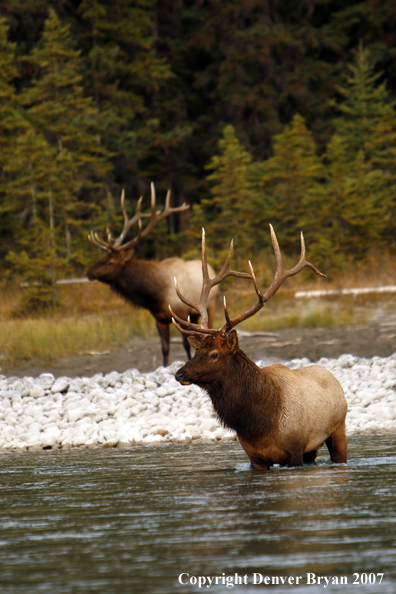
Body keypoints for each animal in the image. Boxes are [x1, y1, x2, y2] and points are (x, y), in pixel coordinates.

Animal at [86, 183, 220, 364]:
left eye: (110, 262)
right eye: (103, 257)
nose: (88, 272)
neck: (155, 294)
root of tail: (212, 269)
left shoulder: (181, 313)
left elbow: (186, 345)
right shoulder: (159, 319)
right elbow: (165, 348)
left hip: (211, 305)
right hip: (195, 315)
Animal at [172, 225, 348, 468]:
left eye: (214, 354)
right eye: (197, 350)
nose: (179, 373)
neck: (259, 423)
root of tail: (332, 376)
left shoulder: (295, 449)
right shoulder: (254, 457)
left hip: (338, 427)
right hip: (312, 449)